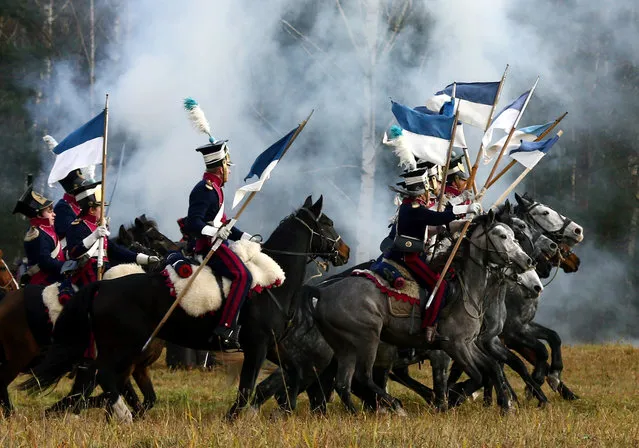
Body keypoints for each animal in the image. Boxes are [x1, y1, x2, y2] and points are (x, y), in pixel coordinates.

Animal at [21, 194, 350, 422]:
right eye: (326, 223)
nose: (344, 251)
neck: (273, 284)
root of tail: (103, 285)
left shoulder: (271, 345)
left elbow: (294, 372)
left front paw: (280, 410)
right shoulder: (256, 347)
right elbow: (246, 388)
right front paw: (234, 420)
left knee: (99, 378)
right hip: (122, 347)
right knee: (102, 377)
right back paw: (119, 413)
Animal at [316, 212, 536, 414]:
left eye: (514, 236)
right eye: (502, 235)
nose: (527, 261)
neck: (464, 293)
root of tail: (323, 294)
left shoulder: (467, 344)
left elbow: (491, 368)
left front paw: (505, 405)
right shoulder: (453, 346)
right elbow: (476, 375)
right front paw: (452, 398)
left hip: (346, 347)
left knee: (344, 384)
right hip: (367, 340)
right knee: (362, 377)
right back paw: (396, 407)